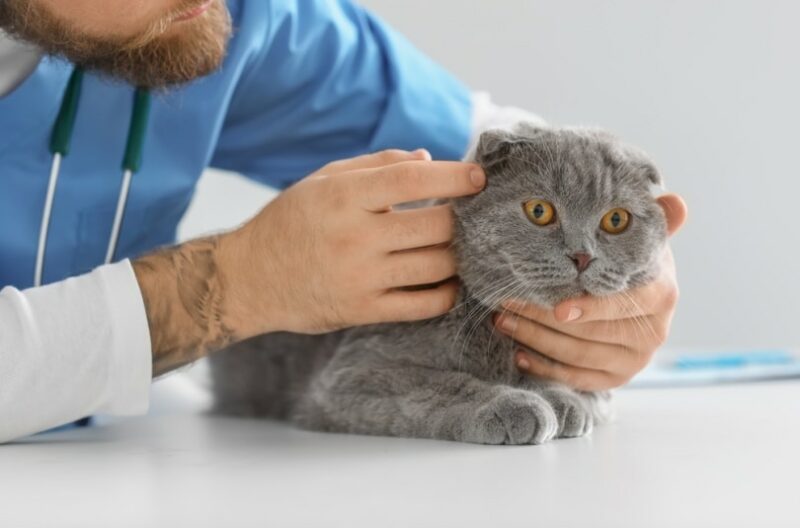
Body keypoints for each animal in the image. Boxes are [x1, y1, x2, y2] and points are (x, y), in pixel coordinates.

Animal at [208, 124, 668, 446]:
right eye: (540, 211)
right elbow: (440, 385)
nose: (582, 255)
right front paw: (510, 404)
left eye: (616, 220)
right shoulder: (350, 376)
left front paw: (562, 398)